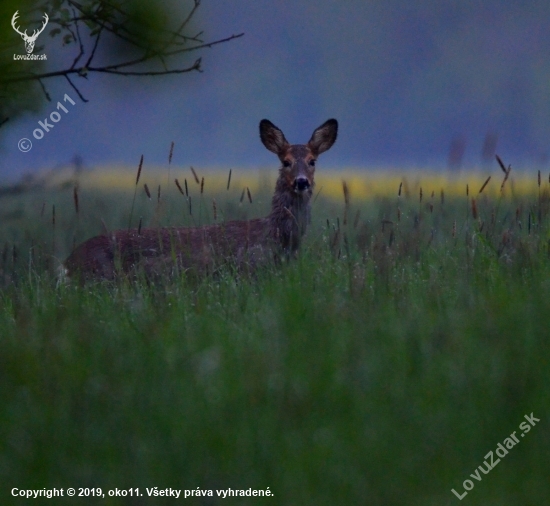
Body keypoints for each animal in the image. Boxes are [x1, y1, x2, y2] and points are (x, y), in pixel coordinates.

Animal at [64, 120, 340, 282]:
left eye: (313, 161)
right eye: (286, 161)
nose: (301, 182)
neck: (275, 236)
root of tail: (67, 263)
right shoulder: (248, 269)